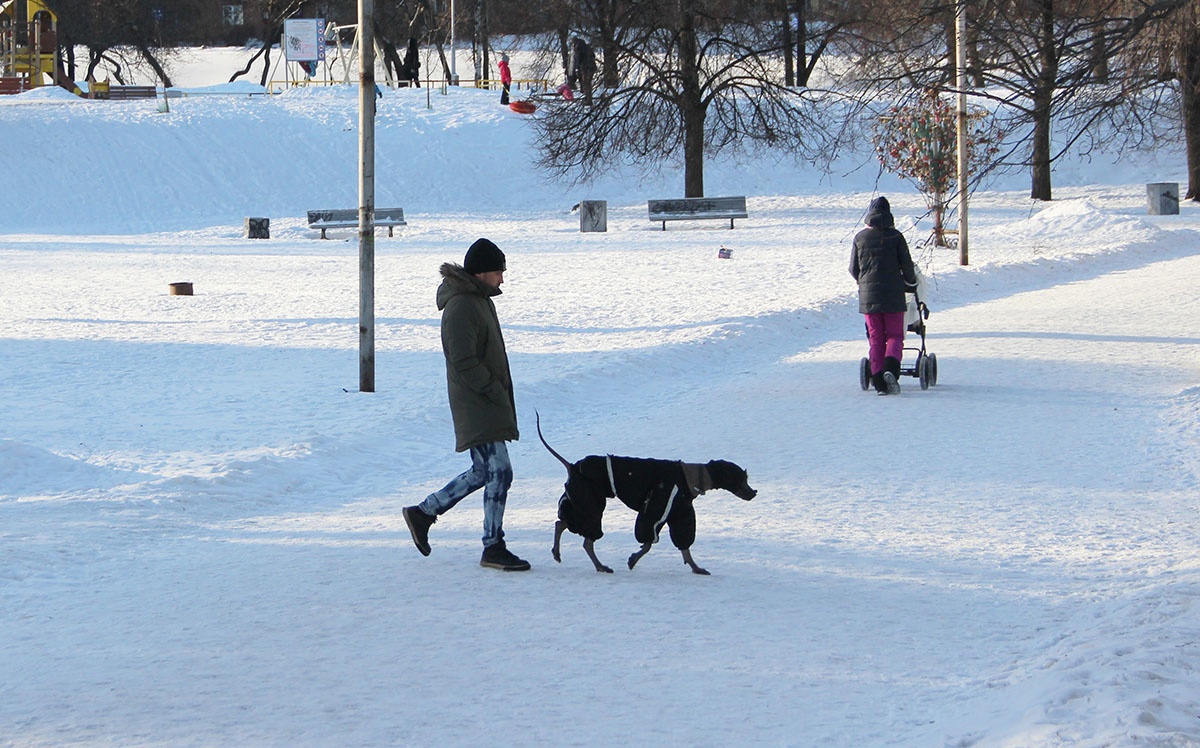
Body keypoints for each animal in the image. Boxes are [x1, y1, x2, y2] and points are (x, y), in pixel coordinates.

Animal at [540, 413, 753, 576]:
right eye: (742, 478)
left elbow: (684, 545)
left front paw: (696, 568)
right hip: (591, 504)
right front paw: (633, 559)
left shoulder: (678, 514)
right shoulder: (655, 510)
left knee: (562, 523)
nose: (754, 492)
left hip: (580, 502)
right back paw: (600, 566)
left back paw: (559, 552)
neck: (689, 477)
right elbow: (648, 542)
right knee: (586, 540)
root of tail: (573, 466)